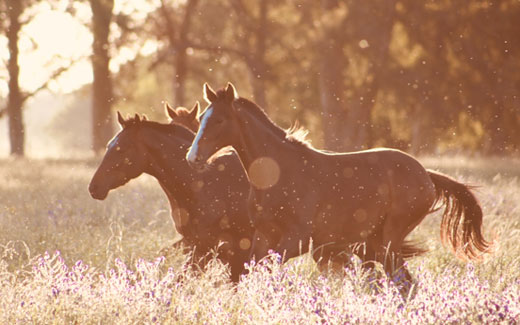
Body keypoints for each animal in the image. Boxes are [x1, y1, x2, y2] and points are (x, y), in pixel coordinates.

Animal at [186, 82, 492, 282]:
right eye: (201, 118)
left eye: (220, 120)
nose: (193, 157)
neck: (277, 175)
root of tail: (426, 175)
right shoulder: (264, 235)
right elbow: (249, 270)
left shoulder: (298, 239)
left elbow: (264, 269)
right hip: (374, 243)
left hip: (389, 240)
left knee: (402, 282)